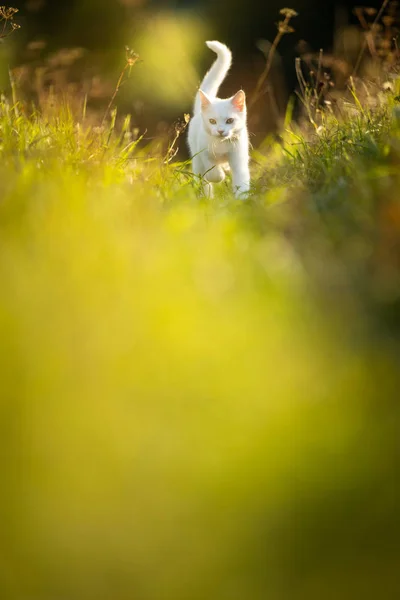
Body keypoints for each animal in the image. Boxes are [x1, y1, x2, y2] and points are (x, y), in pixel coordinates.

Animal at [188, 40, 250, 199]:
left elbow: (242, 181)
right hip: (196, 159)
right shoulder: (203, 152)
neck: (221, 145)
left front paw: (242, 200)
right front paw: (219, 176)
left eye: (230, 121)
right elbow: (213, 172)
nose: (221, 131)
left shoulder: (239, 158)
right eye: (212, 121)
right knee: (203, 180)